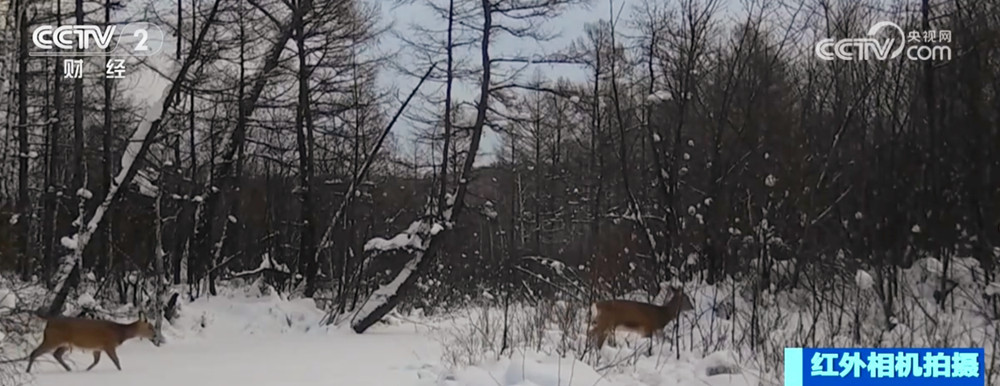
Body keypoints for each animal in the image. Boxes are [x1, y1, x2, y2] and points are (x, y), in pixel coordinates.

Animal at [26, 312, 158, 372]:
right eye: (150, 327)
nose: (156, 335)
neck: (120, 333)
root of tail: (49, 321)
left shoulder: (97, 348)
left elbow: (96, 361)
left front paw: (86, 370)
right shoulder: (109, 344)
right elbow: (116, 360)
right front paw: (120, 371)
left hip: (64, 343)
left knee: (56, 354)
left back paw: (69, 369)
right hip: (52, 339)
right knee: (35, 352)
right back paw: (27, 371)